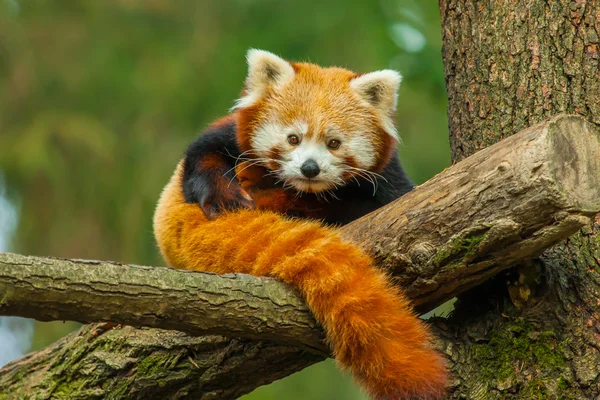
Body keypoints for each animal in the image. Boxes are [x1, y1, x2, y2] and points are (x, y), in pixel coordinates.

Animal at [154, 48, 446, 398]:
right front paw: (223, 195)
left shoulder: (388, 177)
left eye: (334, 143)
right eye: (293, 138)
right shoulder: (230, 136)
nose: (309, 168)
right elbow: (203, 152)